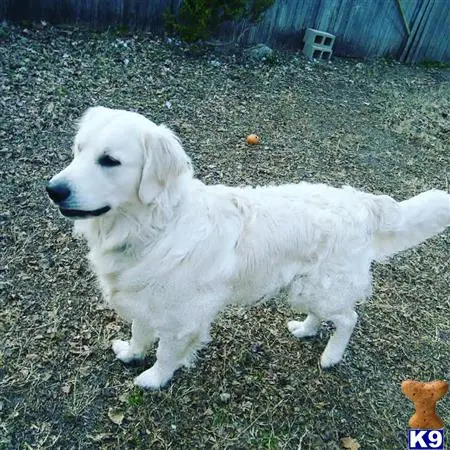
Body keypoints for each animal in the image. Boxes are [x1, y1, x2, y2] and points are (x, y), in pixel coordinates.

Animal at [46, 107, 450, 388]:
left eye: (110, 161)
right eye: (78, 150)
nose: (53, 190)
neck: (154, 227)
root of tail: (363, 203)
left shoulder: (182, 317)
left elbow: (165, 351)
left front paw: (153, 379)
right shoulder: (145, 298)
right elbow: (140, 331)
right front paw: (131, 353)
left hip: (323, 287)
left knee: (348, 318)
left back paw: (331, 356)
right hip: (303, 288)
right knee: (323, 315)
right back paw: (305, 329)